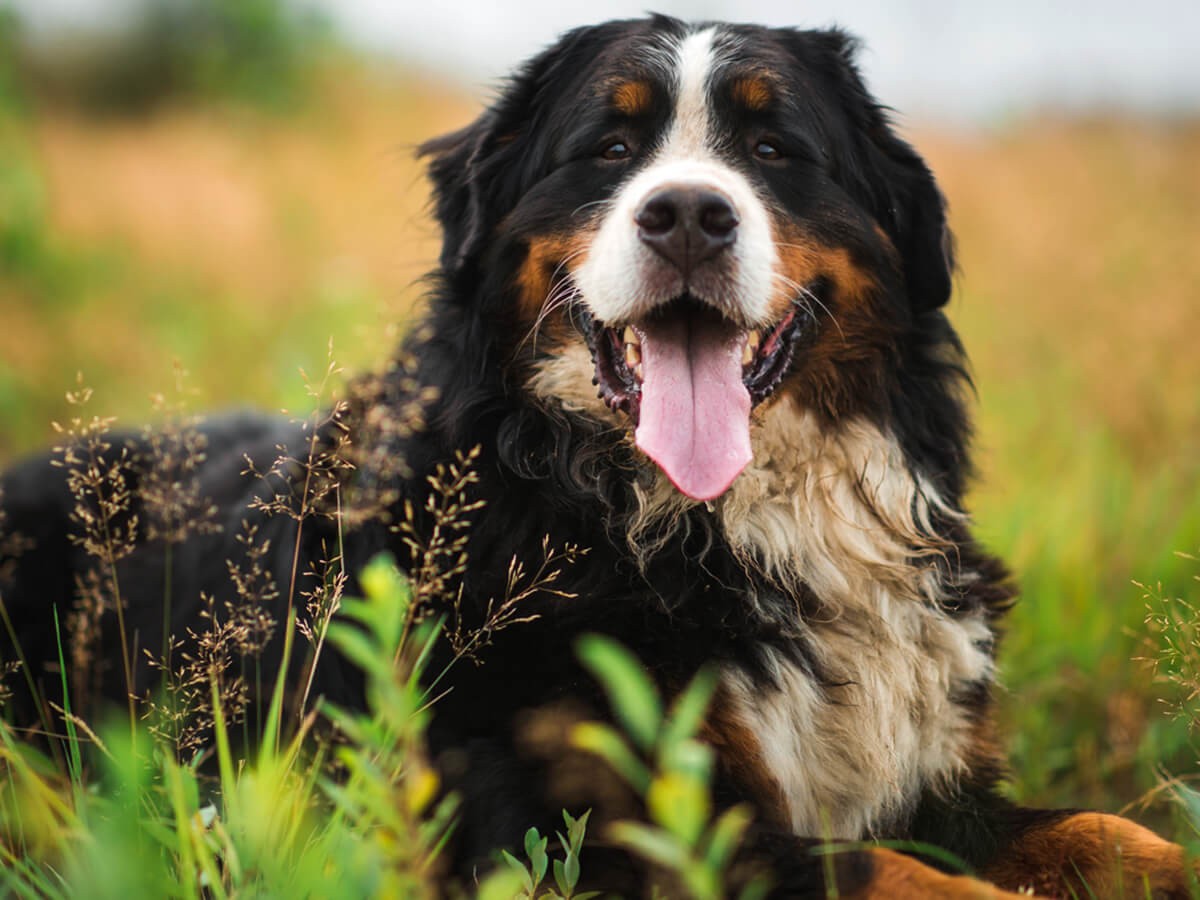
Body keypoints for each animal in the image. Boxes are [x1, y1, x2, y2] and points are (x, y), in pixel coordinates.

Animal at [4, 14, 1195, 900]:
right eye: (610, 149)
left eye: (774, 148)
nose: (689, 214)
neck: (704, 521)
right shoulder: (582, 825)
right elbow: (888, 873)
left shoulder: (936, 778)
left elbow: (1102, 830)